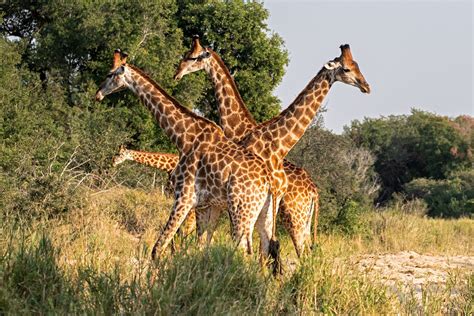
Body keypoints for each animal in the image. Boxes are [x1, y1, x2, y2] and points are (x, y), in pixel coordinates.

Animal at [96, 50, 282, 270]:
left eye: (110, 74)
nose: (98, 94)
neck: (183, 137)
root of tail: (268, 182)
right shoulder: (204, 205)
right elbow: (197, 245)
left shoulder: (184, 197)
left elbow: (158, 248)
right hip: (264, 216)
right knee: (265, 250)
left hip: (241, 211)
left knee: (244, 251)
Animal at [174, 40, 370, 256]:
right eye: (348, 68)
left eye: (193, 57)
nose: (366, 86)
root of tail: (314, 192)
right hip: (301, 220)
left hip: (294, 217)